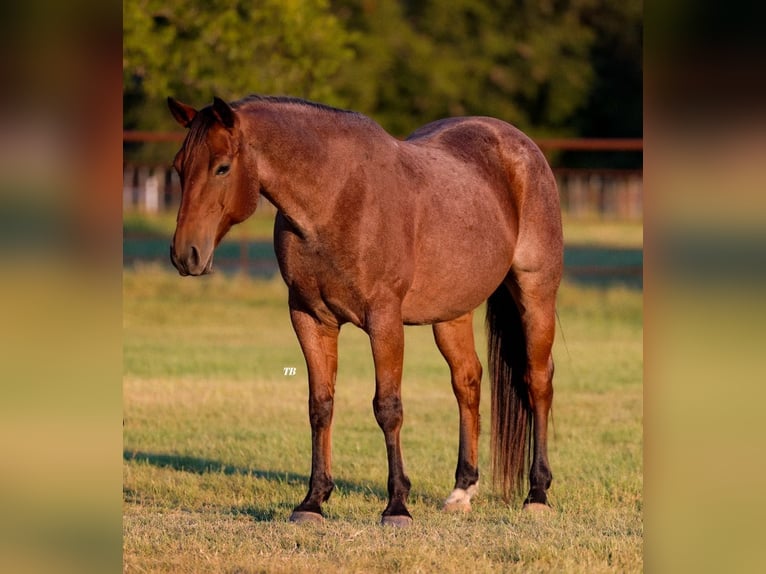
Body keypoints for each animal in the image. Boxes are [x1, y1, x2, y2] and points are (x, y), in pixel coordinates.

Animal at [167, 95, 563, 527]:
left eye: (222, 167)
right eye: (179, 167)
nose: (185, 254)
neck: (335, 198)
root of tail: (521, 145)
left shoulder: (384, 319)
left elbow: (387, 408)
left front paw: (397, 506)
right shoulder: (309, 318)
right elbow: (320, 405)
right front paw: (312, 501)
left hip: (536, 294)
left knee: (537, 381)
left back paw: (537, 494)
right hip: (452, 311)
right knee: (467, 382)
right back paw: (462, 491)